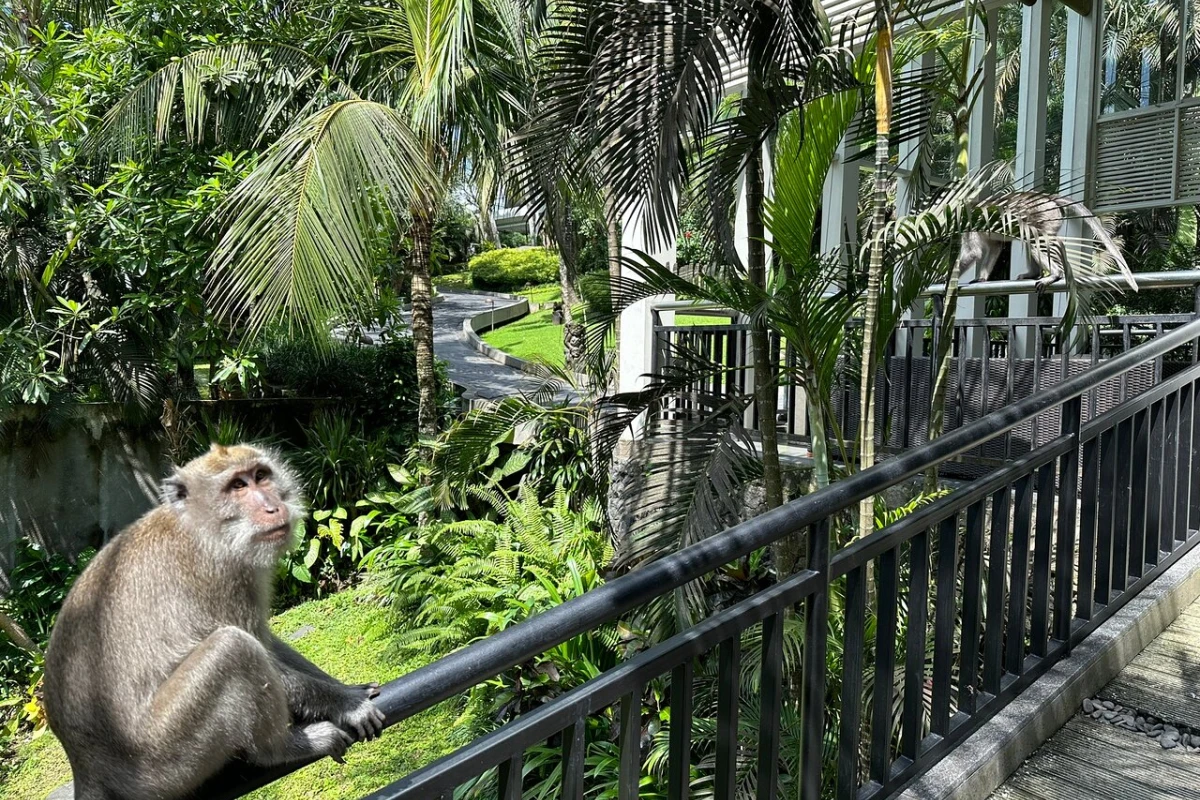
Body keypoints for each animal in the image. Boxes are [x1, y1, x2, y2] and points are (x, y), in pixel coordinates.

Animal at [43, 443, 386, 800]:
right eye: (237, 486)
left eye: (260, 475)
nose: (273, 507)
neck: (200, 526)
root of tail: (87, 767)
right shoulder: (221, 573)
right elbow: (261, 654)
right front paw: (347, 703)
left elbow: (268, 643)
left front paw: (347, 688)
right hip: (163, 759)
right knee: (234, 648)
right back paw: (281, 748)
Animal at [959, 192, 1136, 292]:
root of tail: (1048, 198)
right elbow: (995, 246)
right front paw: (982, 278)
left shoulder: (969, 225)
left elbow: (973, 253)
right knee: (1031, 240)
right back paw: (1033, 273)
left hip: (1046, 216)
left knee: (1037, 240)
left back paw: (1055, 273)